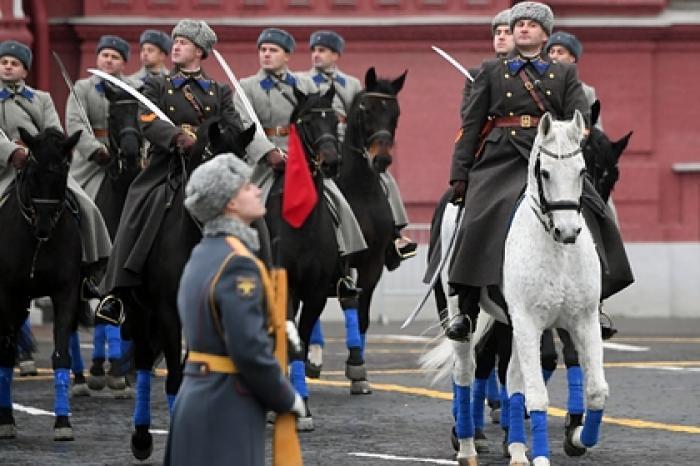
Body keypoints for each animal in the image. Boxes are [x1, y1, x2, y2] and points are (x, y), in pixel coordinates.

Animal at [0, 127, 82, 440]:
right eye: (33, 173)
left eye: (63, 173)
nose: (44, 227)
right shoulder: (7, 294)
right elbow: (4, 354)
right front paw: (6, 420)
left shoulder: (66, 292)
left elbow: (61, 355)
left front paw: (63, 422)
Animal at [127, 118, 256, 460]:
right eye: (210, 154)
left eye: (243, 160)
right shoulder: (168, 311)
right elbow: (174, 378)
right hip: (137, 309)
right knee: (143, 359)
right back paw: (141, 437)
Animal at [422, 110, 608, 466]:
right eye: (545, 172)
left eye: (581, 170)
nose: (568, 231)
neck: (556, 251)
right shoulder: (529, 322)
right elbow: (536, 395)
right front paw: (543, 457)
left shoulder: (583, 320)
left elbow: (596, 391)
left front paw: (579, 437)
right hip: (463, 313)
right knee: (465, 370)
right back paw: (468, 445)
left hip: (511, 324)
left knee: (509, 375)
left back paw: (517, 448)